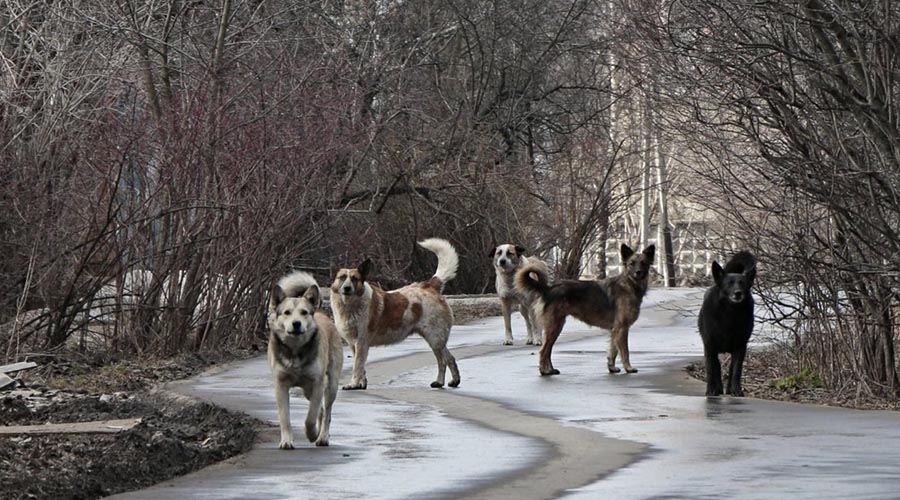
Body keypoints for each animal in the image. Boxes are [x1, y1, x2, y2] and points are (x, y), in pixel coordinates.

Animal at [328, 238, 460, 390]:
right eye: (342, 278)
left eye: (355, 279)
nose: (347, 288)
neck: (350, 306)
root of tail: (430, 285)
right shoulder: (353, 344)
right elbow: (361, 367)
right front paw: (361, 383)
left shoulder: (361, 342)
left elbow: (357, 366)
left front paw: (353, 384)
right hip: (436, 340)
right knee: (448, 359)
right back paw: (449, 382)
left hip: (434, 338)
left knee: (443, 360)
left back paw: (442, 382)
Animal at [512, 244, 652, 376]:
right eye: (631, 263)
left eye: (643, 263)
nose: (638, 272)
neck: (629, 284)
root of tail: (548, 289)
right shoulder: (622, 328)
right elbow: (625, 351)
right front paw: (628, 368)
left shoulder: (616, 330)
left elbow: (613, 351)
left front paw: (611, 367)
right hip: (554, 326)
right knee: (543, 351)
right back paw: (544, 371)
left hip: (556, 326)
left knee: (548, 351)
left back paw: (550, 370)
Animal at [700, 252, 756, 396]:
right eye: (729, 284)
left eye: (743, 284)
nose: (738, 293)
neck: (730, 314)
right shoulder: (709, 346)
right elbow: (711, 369)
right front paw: (711, 390)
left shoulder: (740, 347)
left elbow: (736, 370)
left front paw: (736, 390)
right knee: (717, 367)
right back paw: (718, 389)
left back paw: (730, 389)